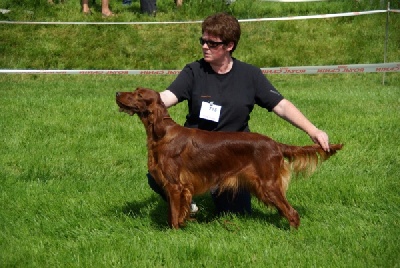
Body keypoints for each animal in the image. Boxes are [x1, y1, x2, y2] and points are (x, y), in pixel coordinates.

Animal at [116, 87, 344, 228]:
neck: (162, 133)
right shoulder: (181, 188)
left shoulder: (175, 185)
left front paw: (173, 233)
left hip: (268, 184)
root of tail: (275, 144)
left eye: (138, 94)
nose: (117, 92)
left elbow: (173, 216)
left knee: (292, 213)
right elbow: (179, 214)